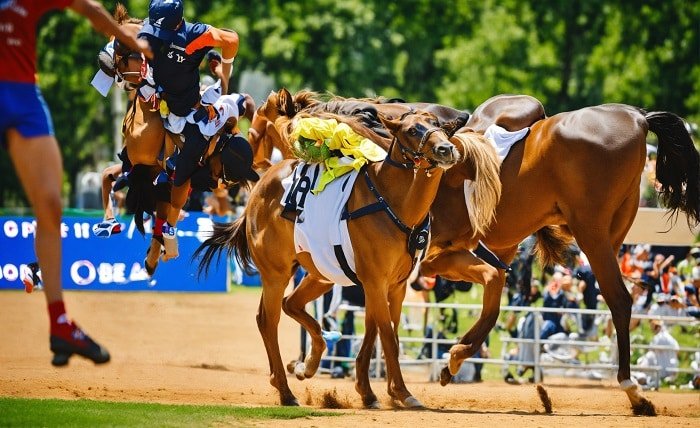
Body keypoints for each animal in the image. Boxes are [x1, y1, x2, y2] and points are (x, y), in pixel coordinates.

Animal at [197, 108, 500, 408]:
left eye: (437, 124)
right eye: (412, 130)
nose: (445, 149)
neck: (392, 203)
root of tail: (261, 185)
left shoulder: (395, 286)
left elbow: (381, 332)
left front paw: (374, 391)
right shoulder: (375, 282)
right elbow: (387, 336)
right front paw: (402, 392)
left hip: (321, 274)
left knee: (291, 303)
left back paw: (309, 362)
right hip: (276, 274)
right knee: (267, 320)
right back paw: (285, 390)